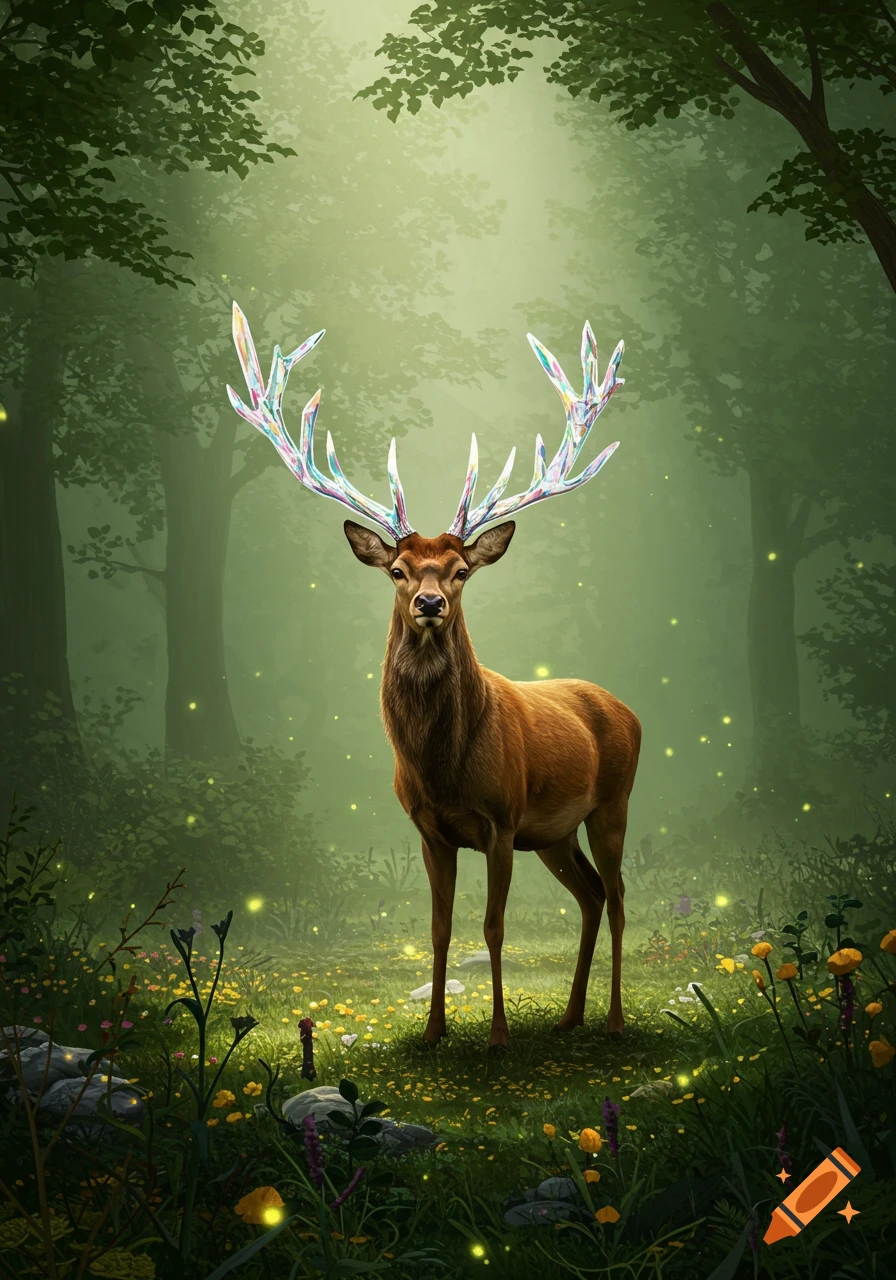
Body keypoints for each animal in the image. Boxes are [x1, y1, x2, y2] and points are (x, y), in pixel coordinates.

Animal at [226, 304, 641, 1050]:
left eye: (461, 570)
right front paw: (432, 1031)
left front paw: (499, 1035)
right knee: (592, 896)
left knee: (620, 898)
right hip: (556, 833)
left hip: (612, 802)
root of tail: (630, 710)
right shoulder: (429, 829)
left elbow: (494, 927)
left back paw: (616, 1021)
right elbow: (441, 929)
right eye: (397, 569)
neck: (442, 765)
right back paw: (569, 1017)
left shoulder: (502, 819)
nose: (429, 603)